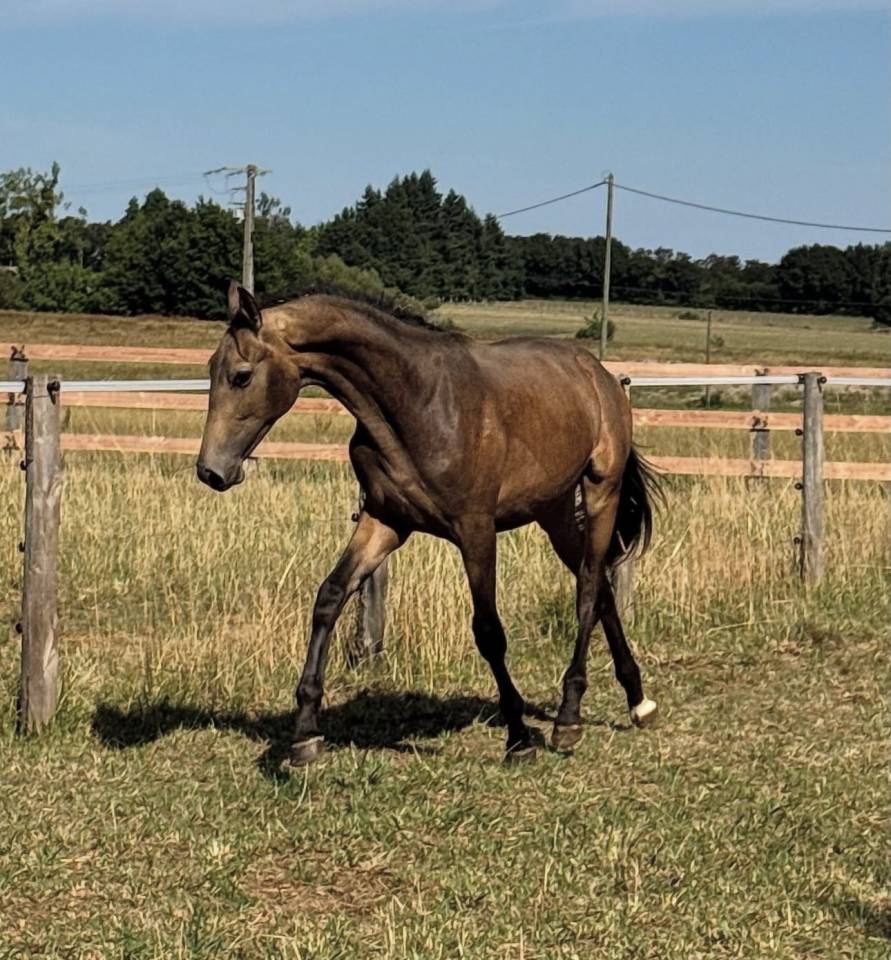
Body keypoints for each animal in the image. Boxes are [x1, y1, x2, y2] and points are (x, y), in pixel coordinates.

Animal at [197, 281, 661, 765]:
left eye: (241, 375)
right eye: (211, 368)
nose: (211, 471)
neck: (416, 402)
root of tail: (601, 376)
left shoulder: (475, 530)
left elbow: (489, 631)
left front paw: (518, 737)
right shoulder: (384, 521)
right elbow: (330, 596)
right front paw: (305, 733)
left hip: (601, 493)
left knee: (588, 590)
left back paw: (568, 719)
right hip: (554, 513)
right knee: (603, 591)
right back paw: (639, 702)